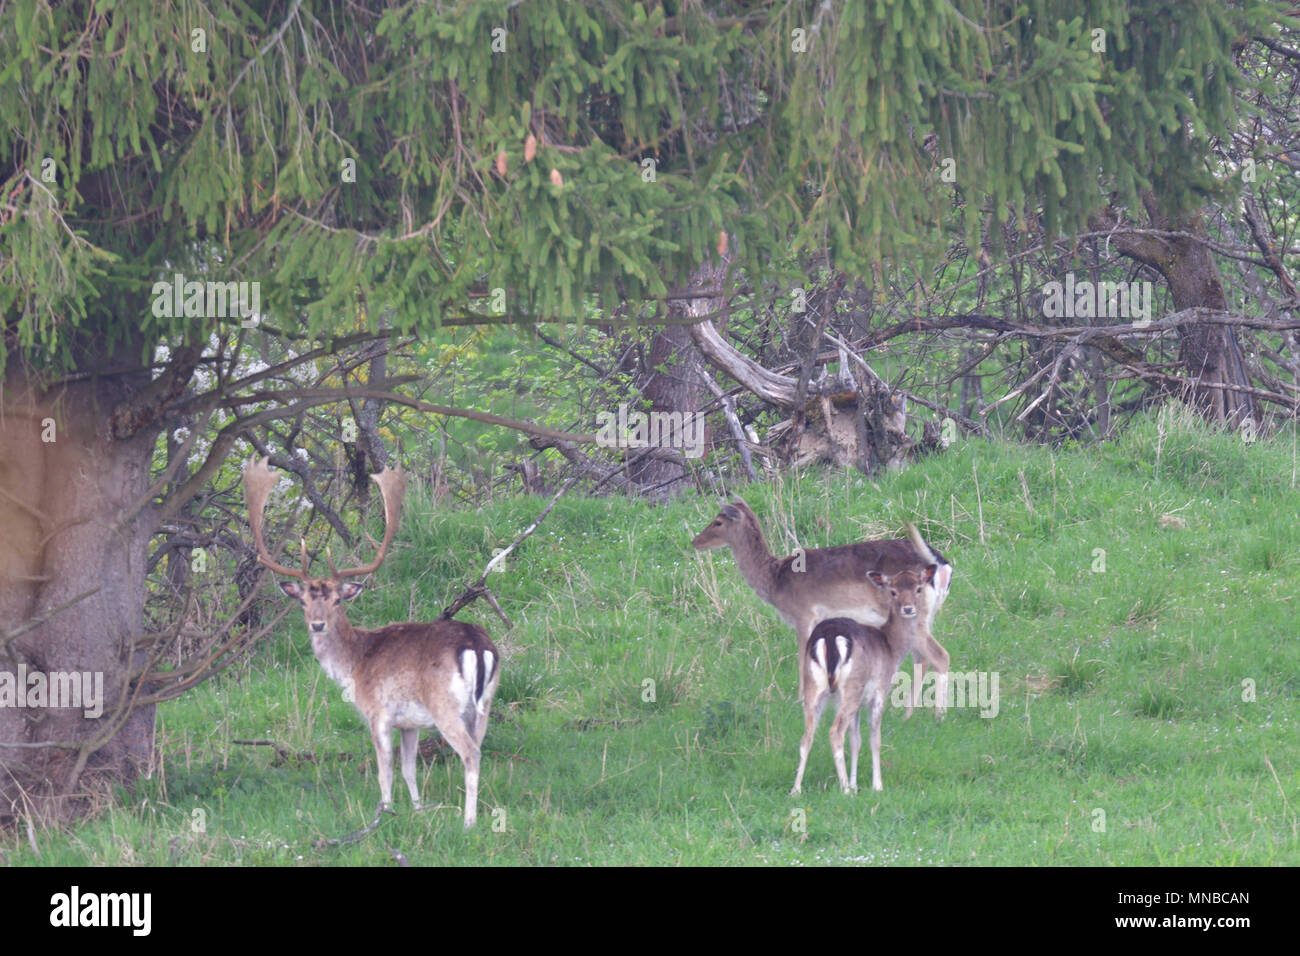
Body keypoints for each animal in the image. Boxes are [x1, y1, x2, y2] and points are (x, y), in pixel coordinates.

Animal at [243, 456, 500, 829]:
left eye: (338, 599)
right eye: (303, 601)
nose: (317, 624)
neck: (354, 663)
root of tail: (477, 646)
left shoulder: (378, 712)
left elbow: (385, 770)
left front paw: (385, 811)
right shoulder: (409, 723)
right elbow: (408, 769)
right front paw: (417, 810)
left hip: (445, 705)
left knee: (470, 753)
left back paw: (469, 822)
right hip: (484, 705)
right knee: (478, 745)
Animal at [691, 499, 952, 715]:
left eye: (718, 521)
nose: (695, 541)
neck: (776, 581)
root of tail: (941, 565)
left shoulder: (804, 614)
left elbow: (801, 656)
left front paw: (799, 700)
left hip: (912, 613)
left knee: (940, 655)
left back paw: (938, 715)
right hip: (923, 617)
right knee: (922, 657)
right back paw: (907, 713)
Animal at [791, 564, 936, 794]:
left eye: (918, 589)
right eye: (892, 591)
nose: (908, 609)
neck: (891, 648)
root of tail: (829, 636)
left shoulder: (858, 704)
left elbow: (856, 741)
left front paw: (855, 783)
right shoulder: (880, 691)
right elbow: (874, 739)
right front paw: (876, 785)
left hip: (813, 685)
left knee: (807, 736)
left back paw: (796, 790)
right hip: (852, 686)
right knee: (835, 732)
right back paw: (845, 790)